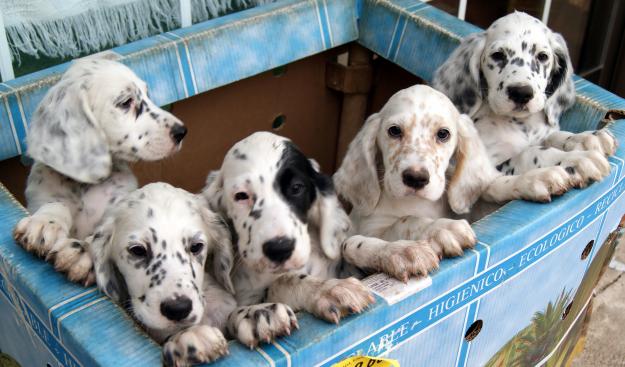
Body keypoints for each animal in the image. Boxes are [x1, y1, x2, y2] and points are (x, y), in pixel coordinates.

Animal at [13, 57, 186, 284]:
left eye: (148, 95)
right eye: (126, 102)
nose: (182, 131)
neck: (85, 185)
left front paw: (82, 252)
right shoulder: (39, 197)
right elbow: (56, 204)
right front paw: (44, 223)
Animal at [202, 132, 436, 348]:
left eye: (296, 188)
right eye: (241, 196)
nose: (279, 248)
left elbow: (351, 243)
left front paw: (401, 251)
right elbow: (284, 281)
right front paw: (260, 314)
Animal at [434, 11, 616, 203]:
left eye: (542, 56)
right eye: (497, 55)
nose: (521, 93)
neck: (519, 123)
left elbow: (553, 137)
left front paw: (588, 138)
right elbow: (530, 153)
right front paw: (577, 159)